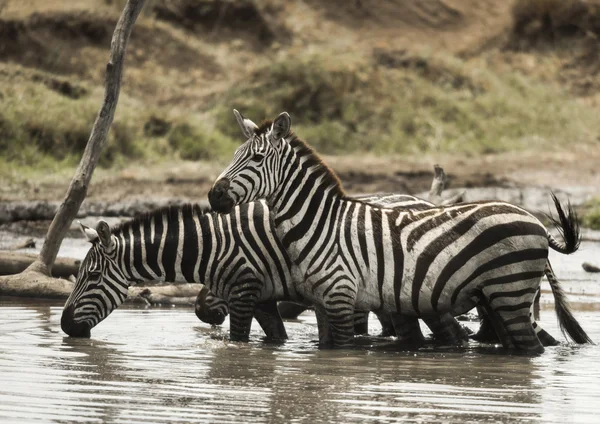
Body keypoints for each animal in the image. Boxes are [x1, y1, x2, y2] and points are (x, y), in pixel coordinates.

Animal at [206, 108, 592, 352]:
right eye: (235, 154)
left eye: (256, 159)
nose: (214, 195)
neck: (320, 225)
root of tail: (535, 220)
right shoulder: (323, 303)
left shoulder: (342, 298)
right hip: (496, 299)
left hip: (511, 292)